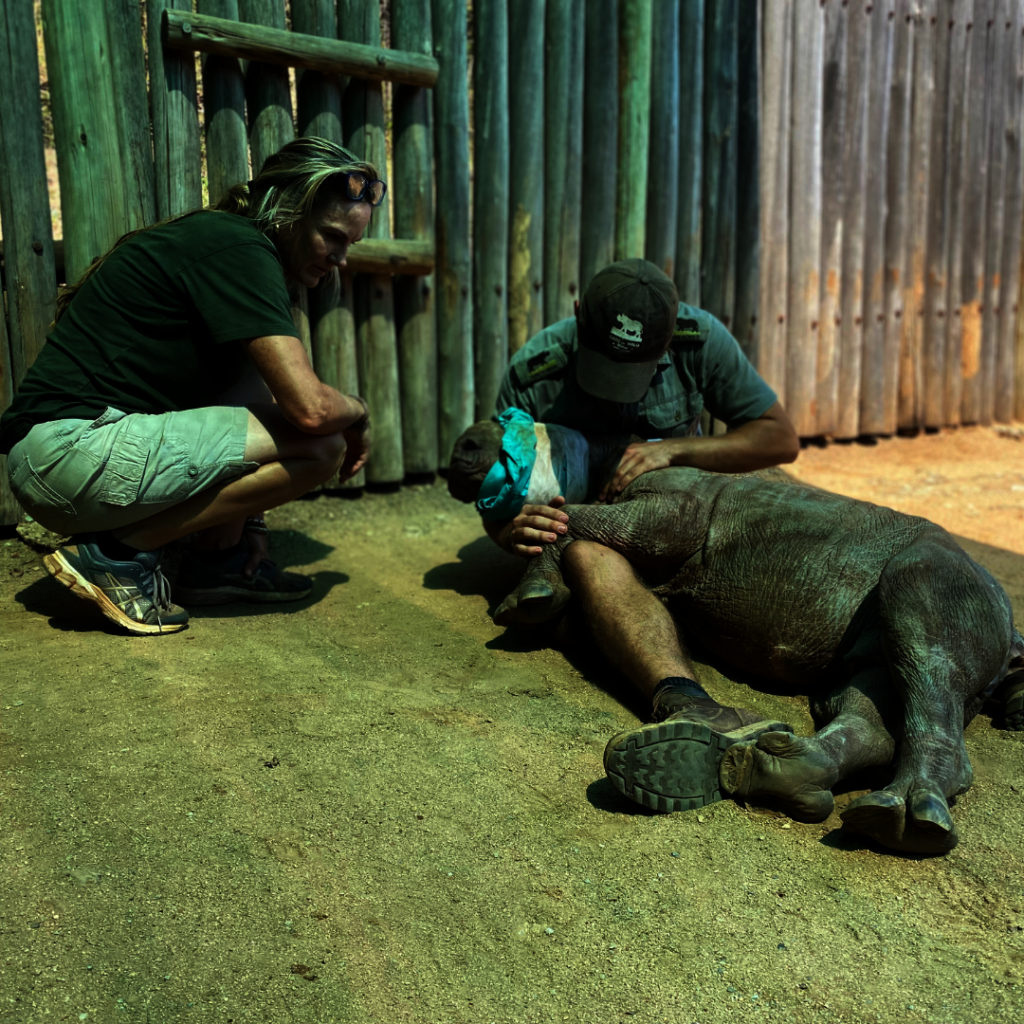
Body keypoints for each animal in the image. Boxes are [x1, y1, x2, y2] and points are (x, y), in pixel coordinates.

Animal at [448, 420, 1024, 856]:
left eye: (501, 430)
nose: (462, 446)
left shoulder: (668, 512)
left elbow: (575, 517)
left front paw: (526, 598)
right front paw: (535, 601)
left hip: (951, 574)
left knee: (922, 634)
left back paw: (906, 817)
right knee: (867, 686)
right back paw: (783, 774)